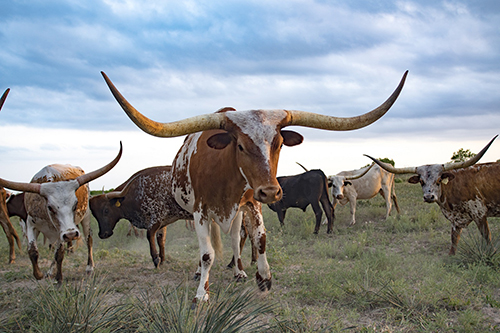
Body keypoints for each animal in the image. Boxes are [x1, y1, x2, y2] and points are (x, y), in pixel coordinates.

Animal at [100, 70, 406, 304]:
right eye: (240, 145)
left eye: (279, 143)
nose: (271, 191)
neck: (224, 173)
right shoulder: (199, 212)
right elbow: (207, 253)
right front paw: (202, 293)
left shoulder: (251, 203)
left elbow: (259, 241)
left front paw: (264, 278)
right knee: (208, 248)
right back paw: (201, 273)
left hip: (239, 211)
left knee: (236, 239)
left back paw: (238, 270)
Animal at [366, 135, 498, 254]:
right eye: (421, 181)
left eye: (439, 180)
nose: (429, 197)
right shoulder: (455, 220)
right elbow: (454, 243)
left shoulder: (479, 214)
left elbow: (488, 240)